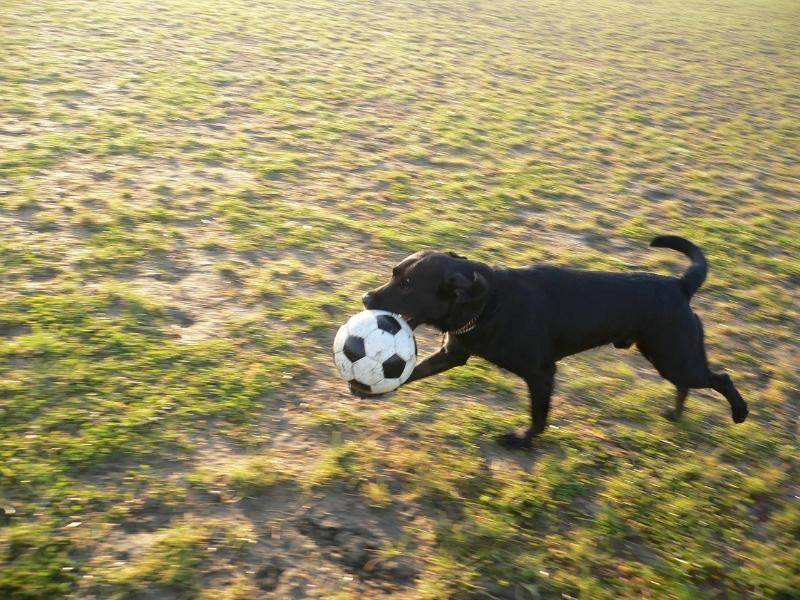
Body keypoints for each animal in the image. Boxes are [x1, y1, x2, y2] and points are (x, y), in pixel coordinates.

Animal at [359, 235, 749, 449]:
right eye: (394, 274)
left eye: (407, 285)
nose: (366, 297)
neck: (489, 303)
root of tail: (679, 285)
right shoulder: (451, 354)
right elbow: (410, 372)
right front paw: (365, 389)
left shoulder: (541, 373)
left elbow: (539, 415)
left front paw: (522, 442)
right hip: (666, 355)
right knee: (687, 384)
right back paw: (676, 414)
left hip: (674, 355)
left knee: (720, 379)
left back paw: (740, 413)